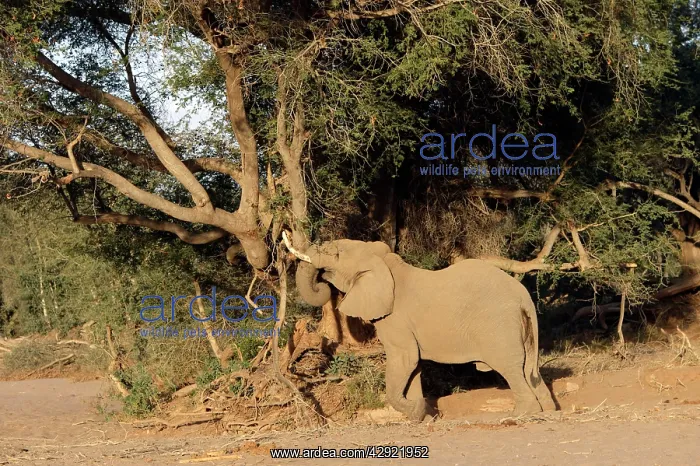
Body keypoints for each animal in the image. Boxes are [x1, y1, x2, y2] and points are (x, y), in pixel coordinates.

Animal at [292, 237, 556, 421]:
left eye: (337, 254)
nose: (322, 280)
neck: (385, 264)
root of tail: (523, 296)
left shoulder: (395, 319)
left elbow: (405, 360)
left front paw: (418, 412)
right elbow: (414, 366)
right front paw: (424, 417)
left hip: (499, 326)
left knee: (510, 368)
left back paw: (520, 414)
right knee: (528, 369)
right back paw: (549, 410)